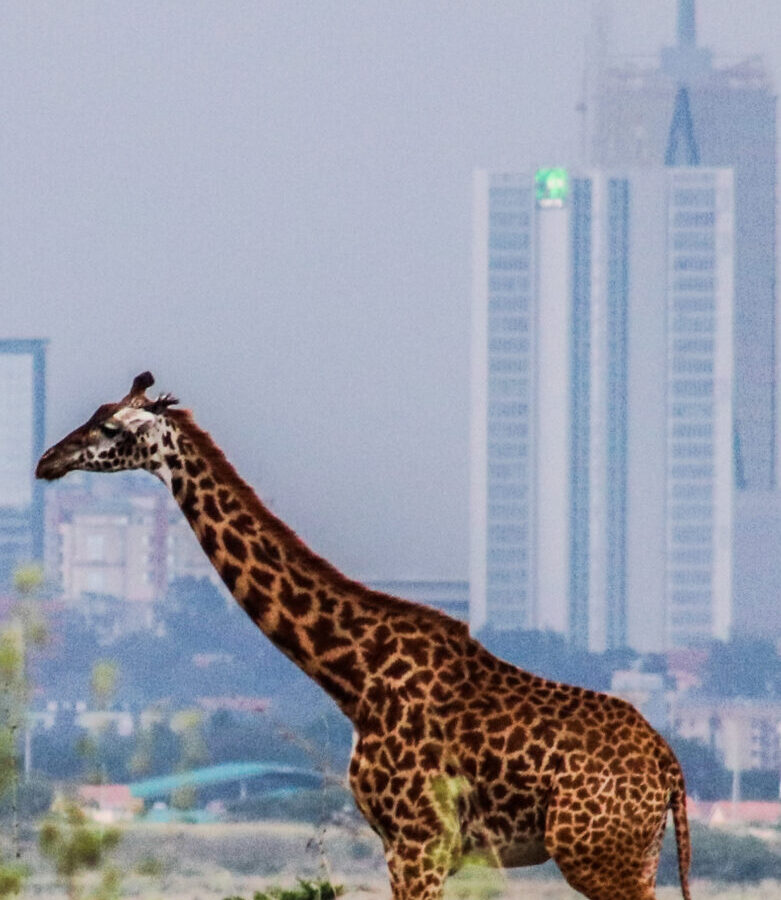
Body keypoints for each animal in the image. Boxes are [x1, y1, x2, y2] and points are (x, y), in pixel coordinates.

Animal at [37, 372, 692, 900]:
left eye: (110, 426)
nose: (47, 461)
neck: (354, 676)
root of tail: (670, 771)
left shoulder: (419, 842)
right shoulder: (412, 847)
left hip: (599, 856)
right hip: (630, 856)